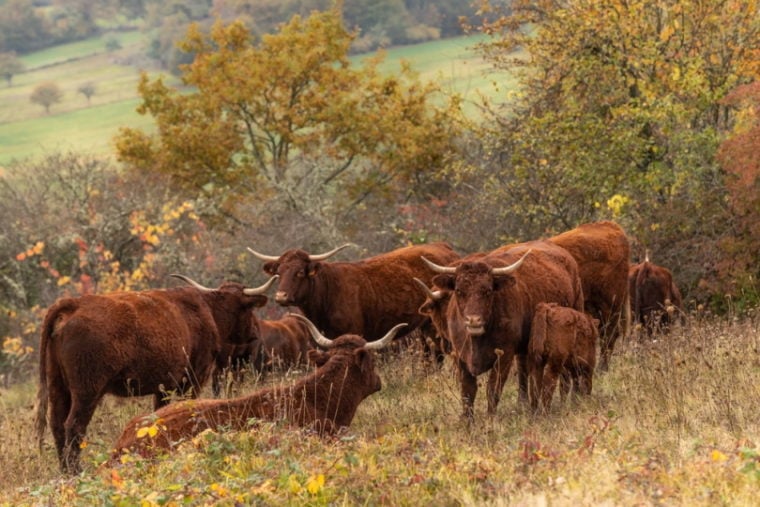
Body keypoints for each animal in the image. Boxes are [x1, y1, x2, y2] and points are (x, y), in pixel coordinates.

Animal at [34, 276, 276, 474]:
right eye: (248, 309)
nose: (255, 333)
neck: (205, 310)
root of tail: (74, 304)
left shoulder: (164, 387)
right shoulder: (194, 379)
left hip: (58, 387)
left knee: (57, 425)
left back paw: (65, 471)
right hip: (87, 391)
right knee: (73, 426)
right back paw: (76, 471)